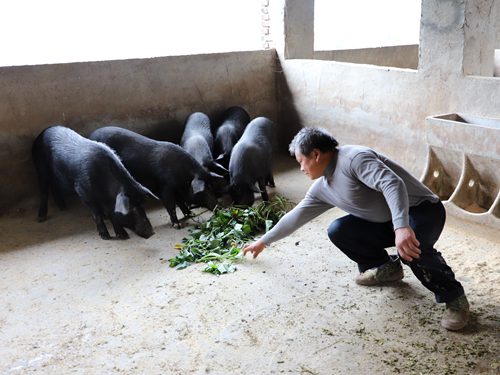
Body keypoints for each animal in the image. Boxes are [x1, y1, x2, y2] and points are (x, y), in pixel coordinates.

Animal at [90, 126, 219, 229]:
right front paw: (177, 225)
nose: (218, 207)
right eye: (203, 190)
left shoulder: (177, 189)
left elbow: (181, 202)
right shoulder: (165, 188)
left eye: (212, 187)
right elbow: (171, 205)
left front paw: (190, 214)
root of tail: (91, 135)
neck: (183, 177)